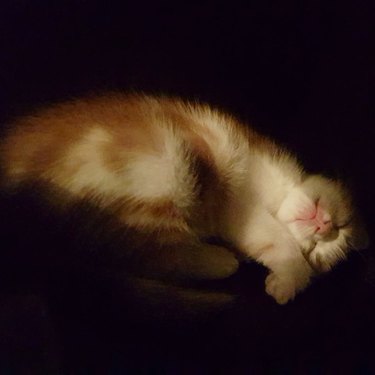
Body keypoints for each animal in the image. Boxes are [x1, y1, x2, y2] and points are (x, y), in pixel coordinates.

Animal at [0, 94, 368, 306]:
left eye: (321, 249)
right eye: (340, 227)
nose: (323, 226)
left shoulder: (238, 219)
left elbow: (267, 240)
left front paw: (287, 278)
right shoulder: (248, 191)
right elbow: (275, 237)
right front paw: (290, 277)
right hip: (168, 168)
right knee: (147, 254)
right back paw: (220, 261)